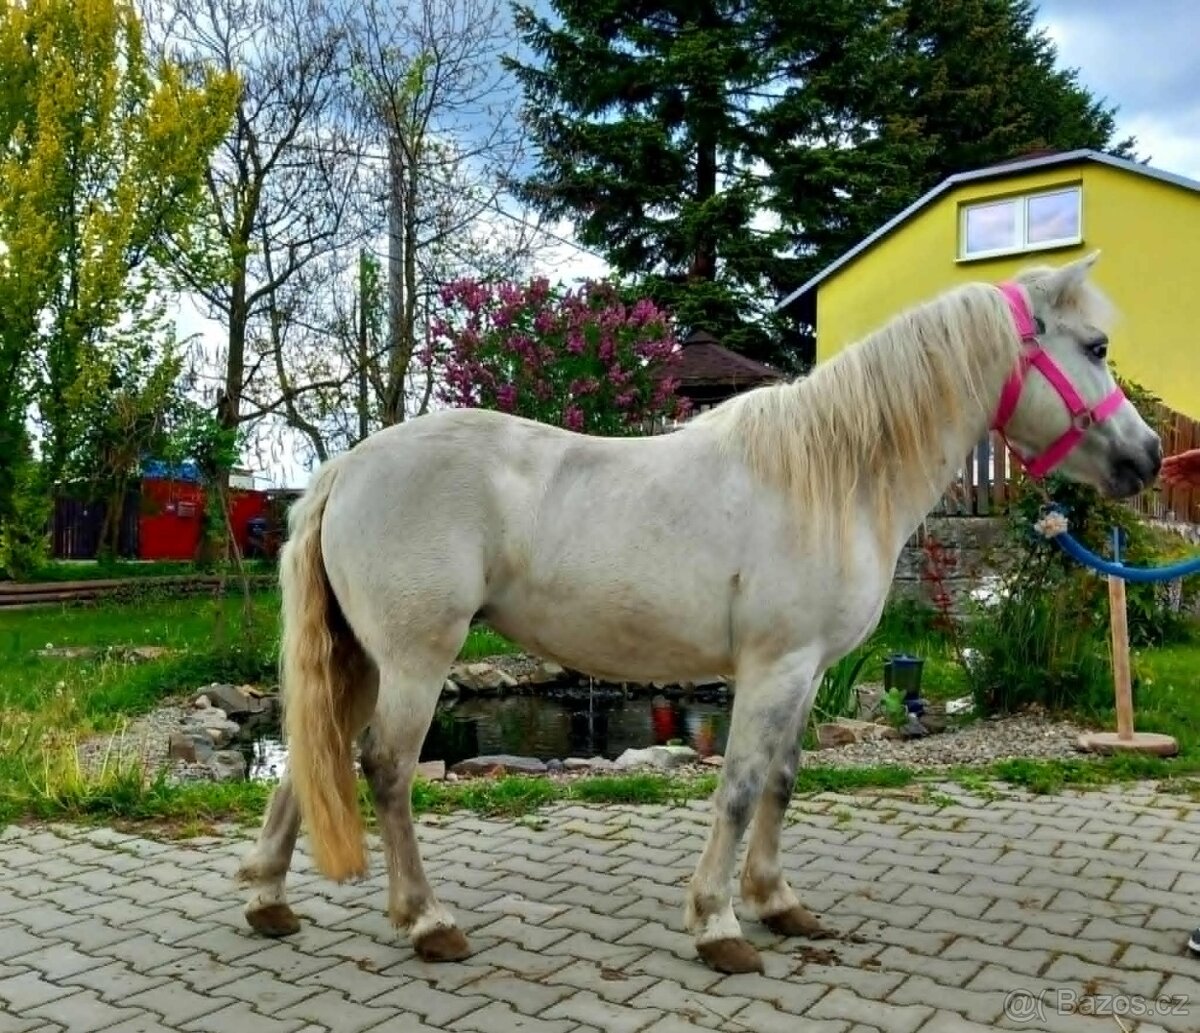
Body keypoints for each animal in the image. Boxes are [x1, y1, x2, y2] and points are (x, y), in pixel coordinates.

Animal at [234, 251, 1162, 975]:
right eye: (1095, 346)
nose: (1148, 454)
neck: (834, 475)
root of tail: (345, 467)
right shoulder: (774, 667)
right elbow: (741, 788)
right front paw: (719, 924)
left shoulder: (807, 671)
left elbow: (782, 781)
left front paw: (778, 902)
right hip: (416, 660)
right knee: (385, 767)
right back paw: (427, 920)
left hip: (361, 658)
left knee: (310, 758)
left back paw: (271, 900)